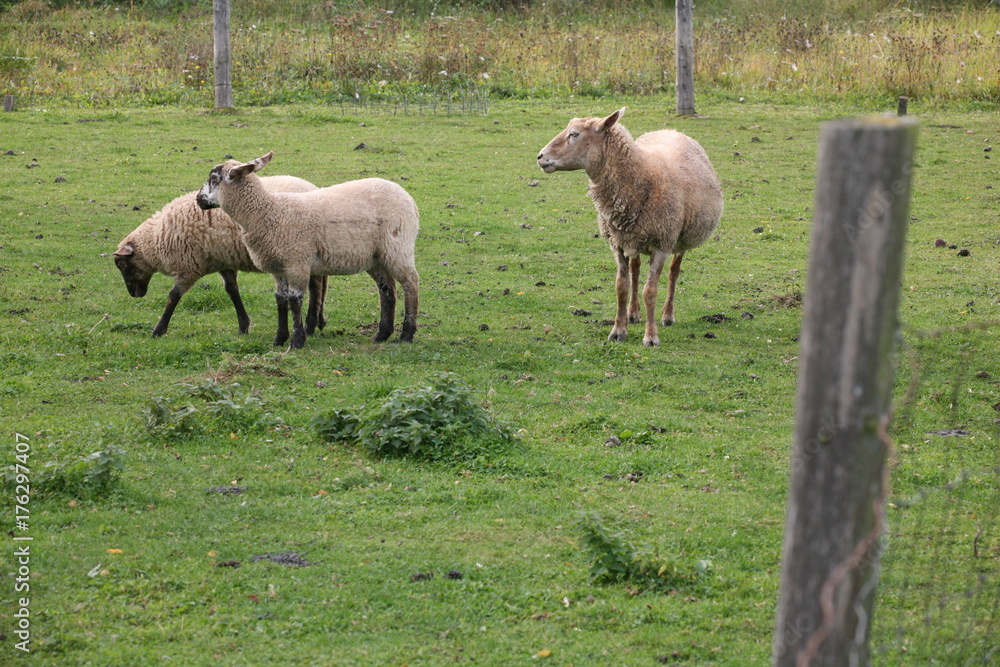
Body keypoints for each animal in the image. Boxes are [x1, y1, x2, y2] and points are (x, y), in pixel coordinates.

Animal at [114, 175, 330, 336]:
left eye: (124, 266)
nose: (135, 294)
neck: (157, 238)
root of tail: (314, 188)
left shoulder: (189, 268)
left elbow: (173, 297)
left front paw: (159, 330)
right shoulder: (223, 261)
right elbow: (232, 291)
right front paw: (243, 326)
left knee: (316, 287)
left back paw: (311, 324)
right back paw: (318, 321)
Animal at [195, 152, 418, 350]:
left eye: (213, 178)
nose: (198, 199)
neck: (266, 213)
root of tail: (407, 197)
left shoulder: (297, 261)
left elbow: (295, 300)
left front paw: (297, 341)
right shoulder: (278, 268)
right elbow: (280, 299)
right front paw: (279, 339)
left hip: (398, 247)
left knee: (410, 283)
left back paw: (406, 335)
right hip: (376, 257)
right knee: (387, 289)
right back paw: (382, 334)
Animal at [540, 107, 720, 348]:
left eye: (574, 134)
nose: (540, 157)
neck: (642, 176)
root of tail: (672, 130)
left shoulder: (661, 244)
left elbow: (650, 291)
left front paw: (651, 336)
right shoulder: (617, 243)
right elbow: (621, 287)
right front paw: (618, 330)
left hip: (679, 239)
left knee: (674, 272)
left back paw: (667, 315)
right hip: (633, 238)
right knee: (636, 270)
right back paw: (633, 313)